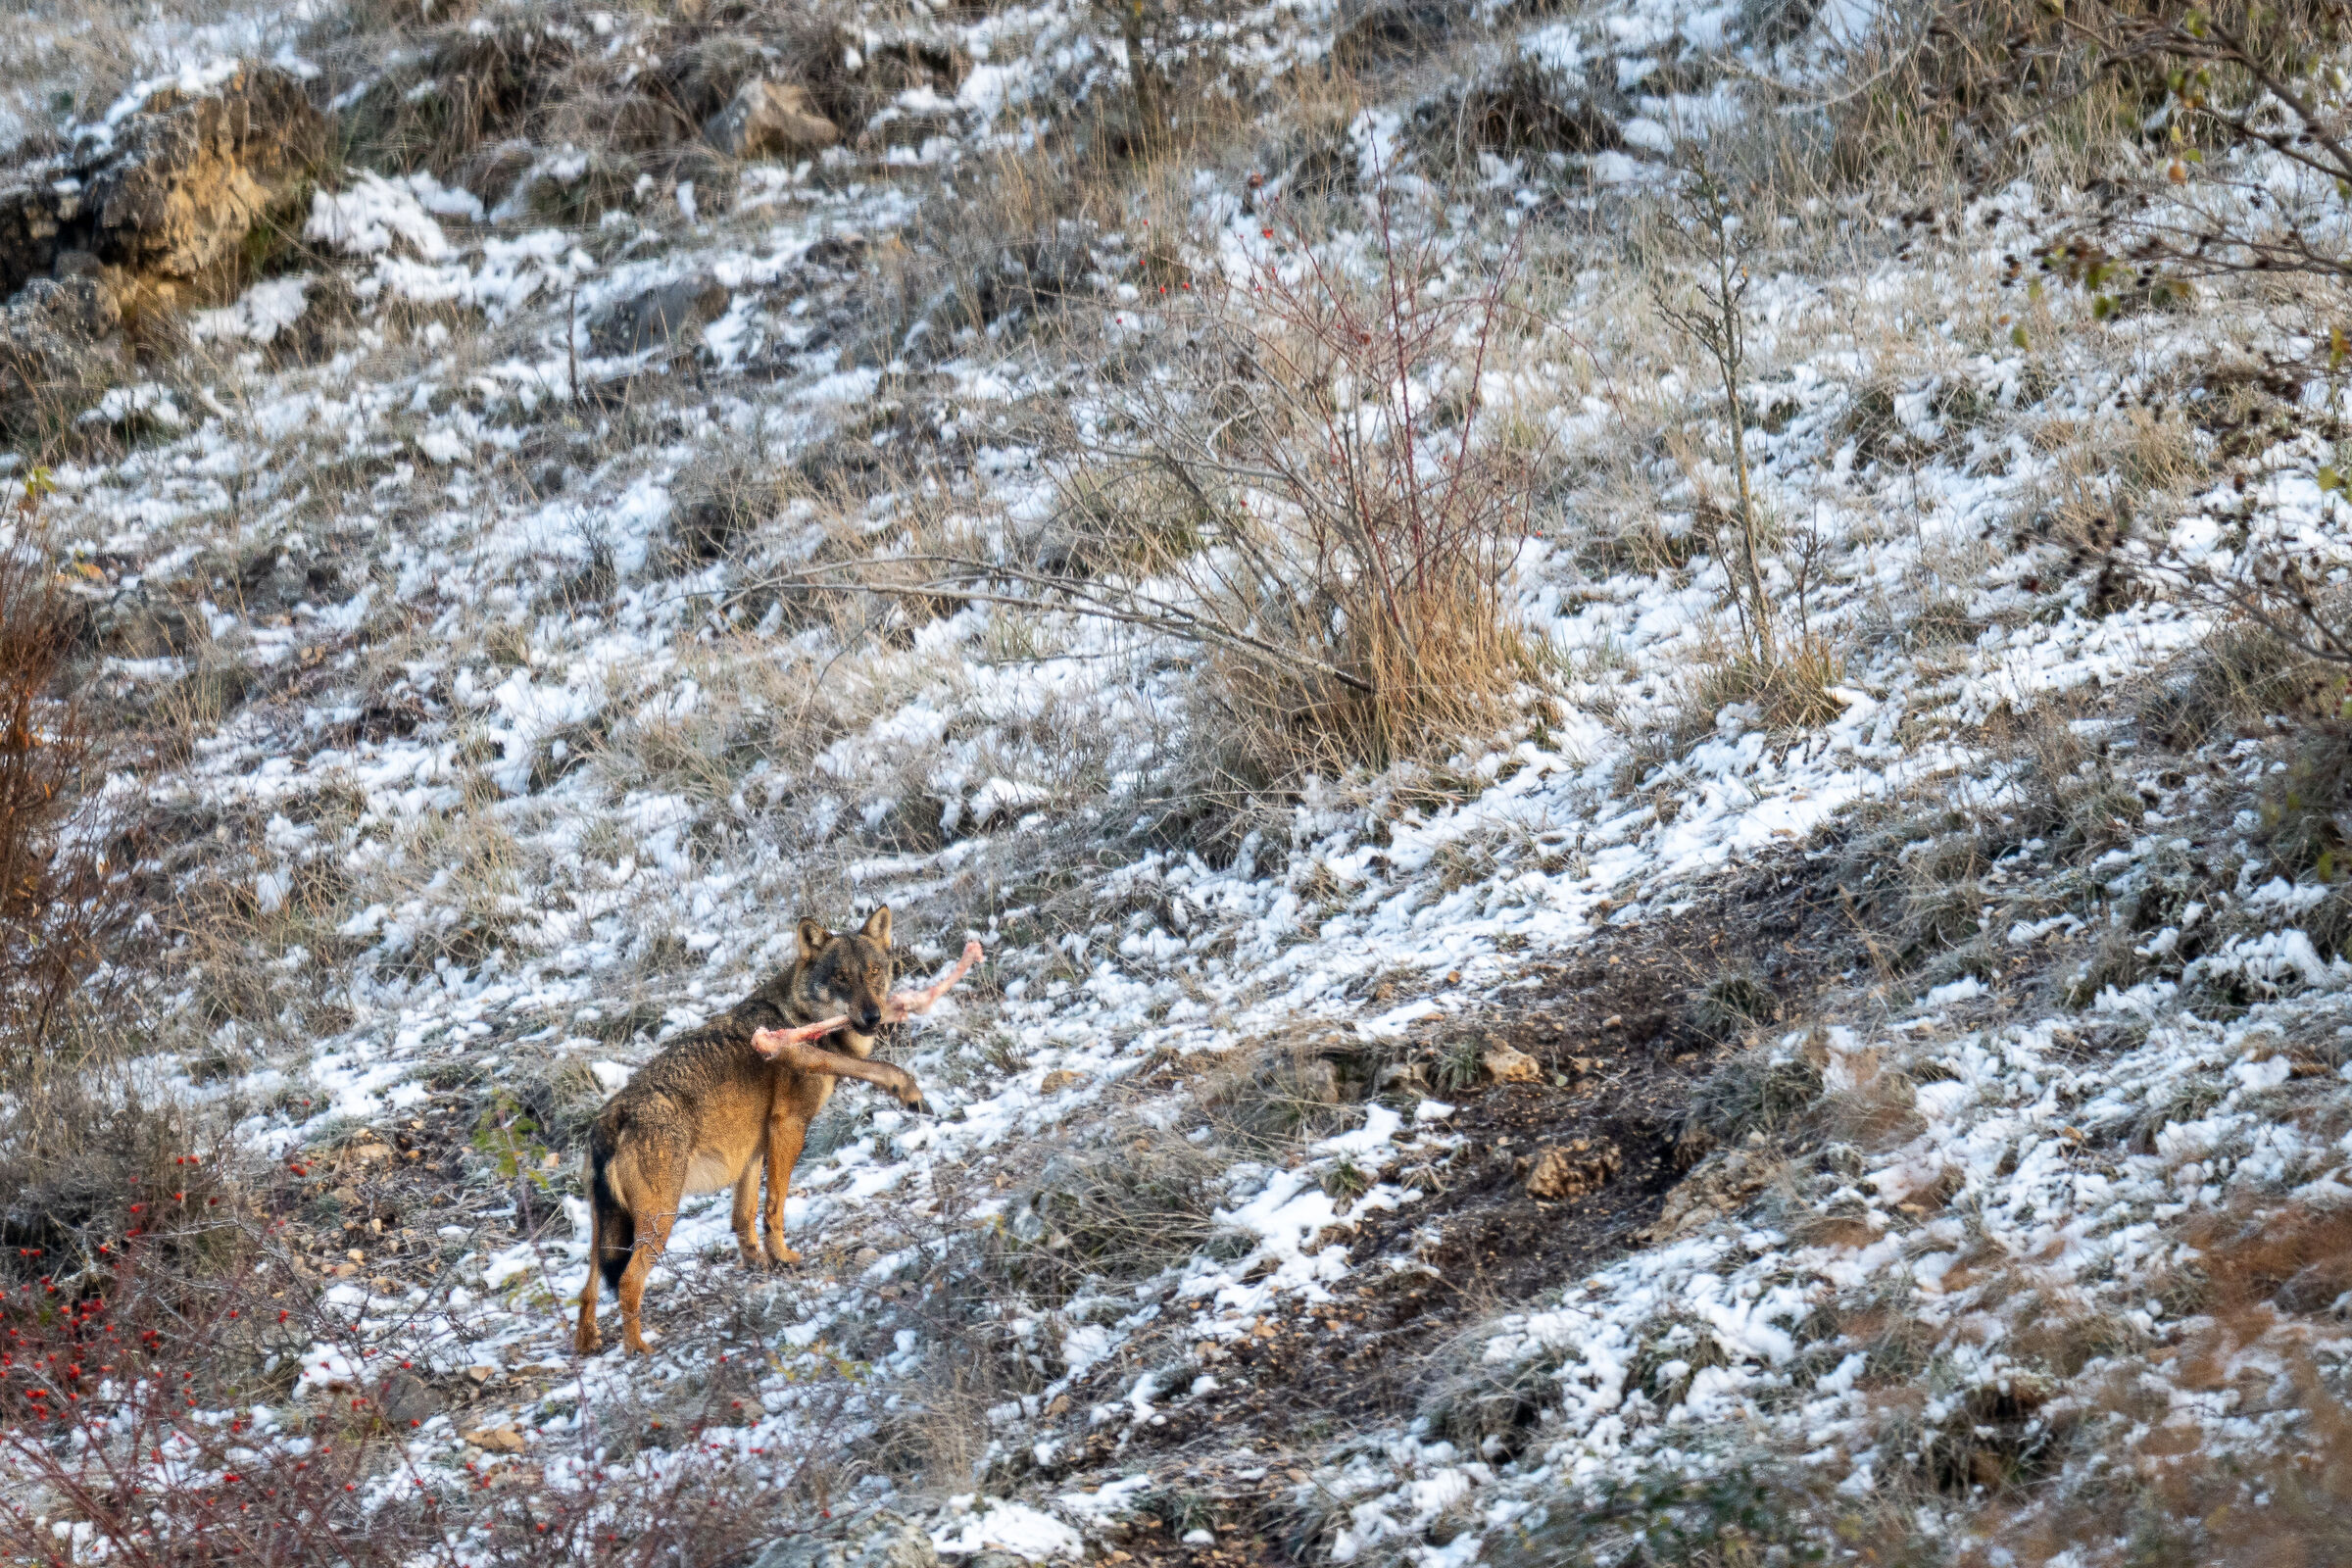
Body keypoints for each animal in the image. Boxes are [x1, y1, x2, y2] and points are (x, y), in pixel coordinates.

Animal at [574, 907, 926, 1355]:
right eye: (841, 977)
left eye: (874, 971)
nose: (872, 1017)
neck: (799, 1015)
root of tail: (611, 1117)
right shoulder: (788, 1126)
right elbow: (775, 1206)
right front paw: (785, 1258)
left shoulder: (752, 1152)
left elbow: (744, 1218)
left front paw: (760, 1264)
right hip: (659, 1221)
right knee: (627, 1282)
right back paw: (639, 1349)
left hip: (607, 1231)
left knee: (587, 1289)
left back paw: (587, 1344)